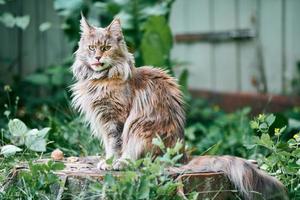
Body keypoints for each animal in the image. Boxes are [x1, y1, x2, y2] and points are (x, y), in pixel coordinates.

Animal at [71, 14, 186, 170]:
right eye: (91, 48)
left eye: (106, 48)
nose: (97, 57)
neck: (101, 80)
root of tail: (180, 157)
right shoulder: (104, 121)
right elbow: (109, 145)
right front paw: (107, 161)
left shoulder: (115, 119)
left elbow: (115, 145)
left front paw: (110, 163)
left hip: (141, 131)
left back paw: (122, 163)